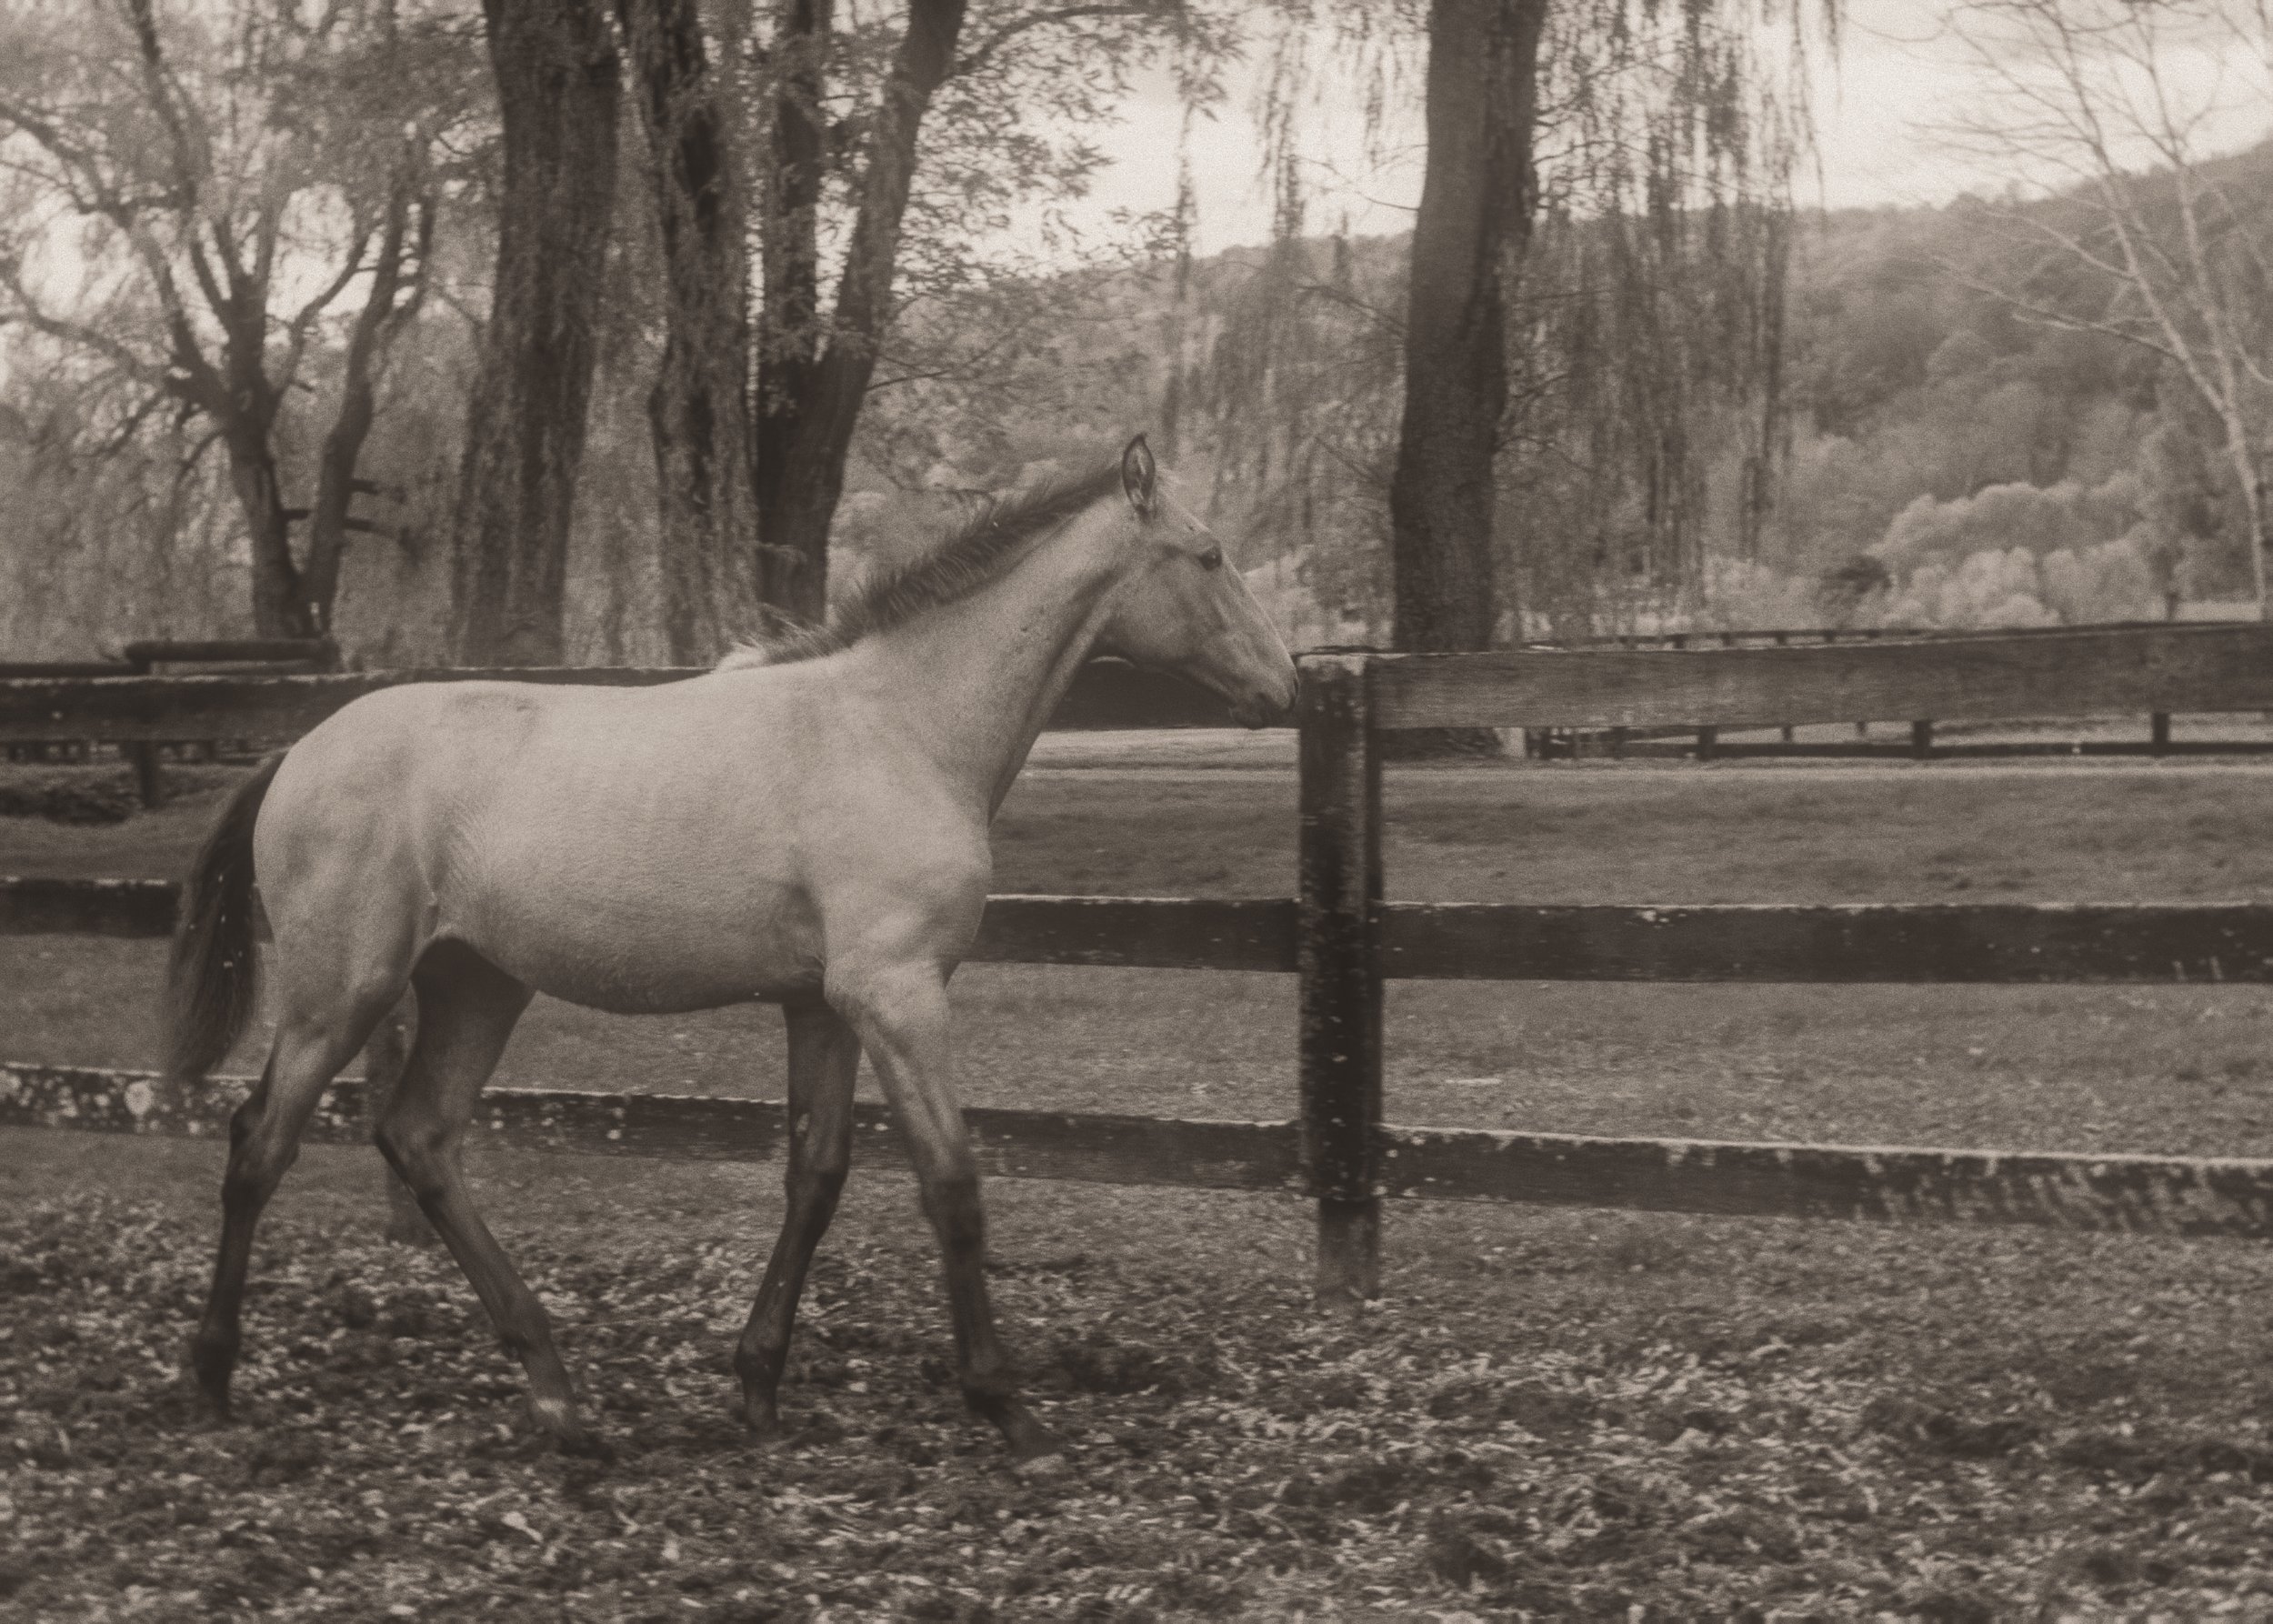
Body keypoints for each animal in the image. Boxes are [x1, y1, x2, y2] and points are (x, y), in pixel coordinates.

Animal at [164, 436, 1298, 1460]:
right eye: (1208, 555)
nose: (1286, 687)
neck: (896, 728)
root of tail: (296, 751)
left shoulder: (824, 1006)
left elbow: (817, 1176)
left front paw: (756, 1389)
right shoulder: (898, 994)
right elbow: (953, 1186)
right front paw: (1007, 1409)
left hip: (477, 986)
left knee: (422, 1139)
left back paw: (558, 1394)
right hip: (340, 992)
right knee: (260, 1144)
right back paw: (213, 1380)